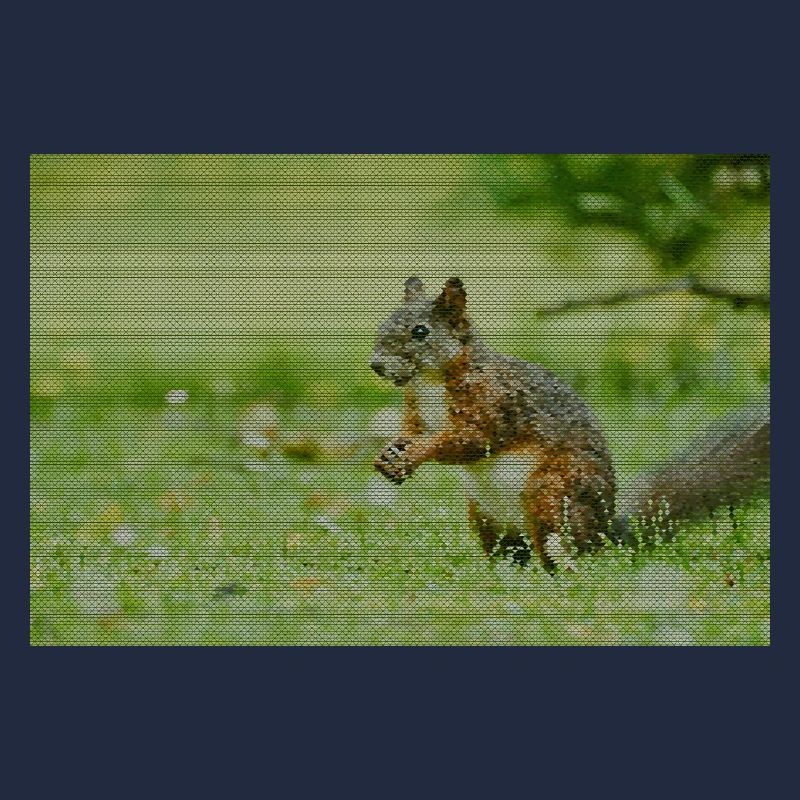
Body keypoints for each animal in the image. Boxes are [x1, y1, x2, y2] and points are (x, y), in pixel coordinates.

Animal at [370, 277, 770, 570]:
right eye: (384, 322)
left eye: (420, 332)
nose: (376, 365)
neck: (431, 381)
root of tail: (606, 529)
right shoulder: (417, 409)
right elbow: (412, 430)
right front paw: (391, 452)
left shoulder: (497, 402)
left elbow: (471, 439)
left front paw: (416, 453)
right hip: (485, 516)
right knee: (513, 552)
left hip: (553, 491)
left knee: (568, 546)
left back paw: (561, 571)